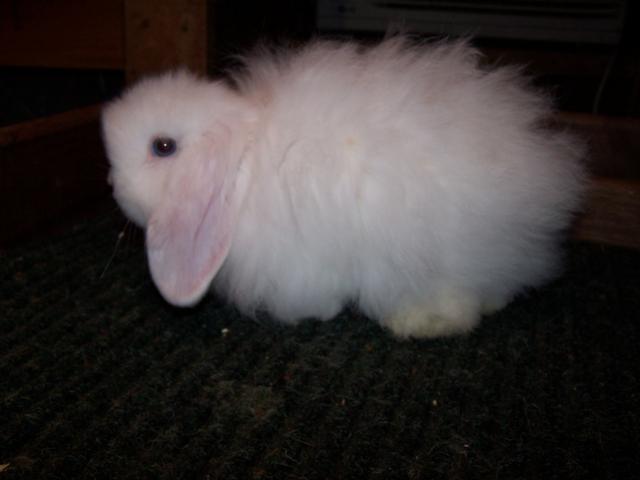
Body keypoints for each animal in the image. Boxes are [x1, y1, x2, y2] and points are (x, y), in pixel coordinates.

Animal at [102, 36, 588, 338]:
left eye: (163, 147)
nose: (113, 186)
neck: (244, 166)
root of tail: (547, 179)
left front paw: (316, 313)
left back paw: (419, 322)